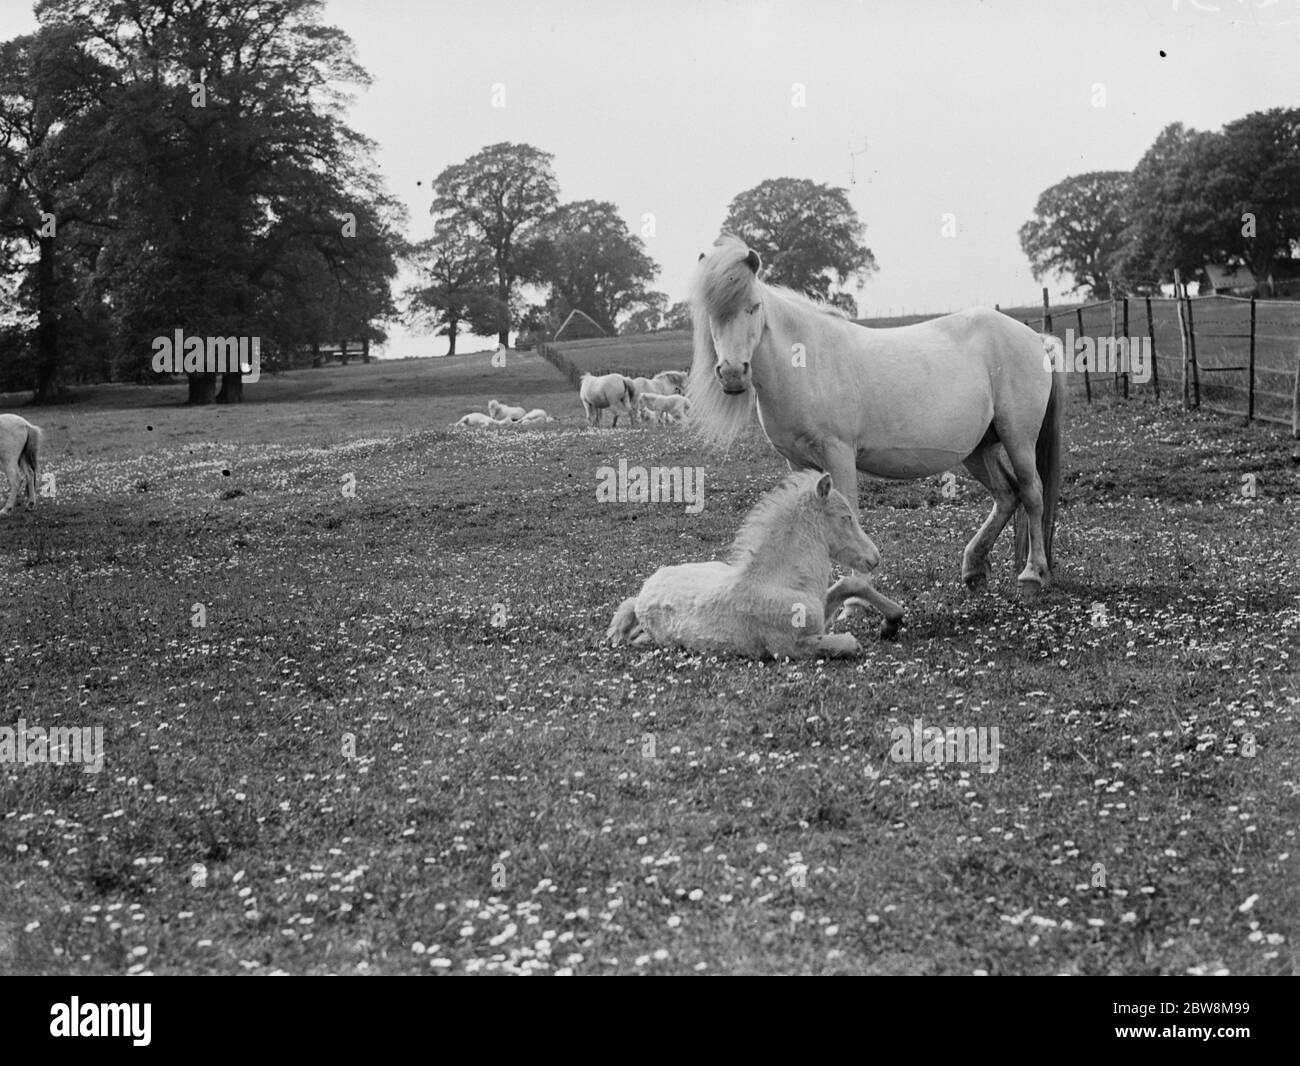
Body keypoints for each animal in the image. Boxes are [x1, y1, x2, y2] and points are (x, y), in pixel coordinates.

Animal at [607, 470, 883, 658]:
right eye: (846, 518)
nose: (875, 557)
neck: (779, 581)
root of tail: (643, 591)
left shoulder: (819, 617)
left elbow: (845, 587)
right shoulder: (788, 648)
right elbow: (849, 643)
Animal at [687, 237, 1063, 627]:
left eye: (753, 306)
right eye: (712, 314)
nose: (732, 373)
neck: (804, 363)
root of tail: (1035, 338)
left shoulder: (838, 453)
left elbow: (849, 509)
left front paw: (853, 601)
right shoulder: (797, 462)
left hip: (1018, 438)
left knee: (1031, 494)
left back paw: (1033, 575)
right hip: (979, 450)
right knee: (1006, 495)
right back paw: (973, 570)